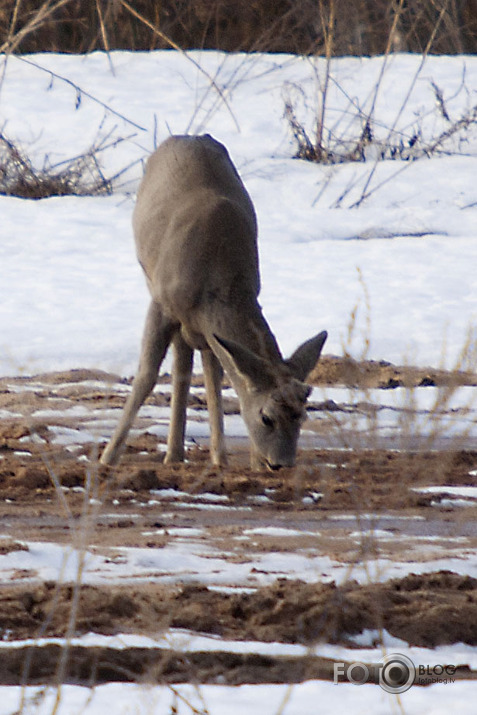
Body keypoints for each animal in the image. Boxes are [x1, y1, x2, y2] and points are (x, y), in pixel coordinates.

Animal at [98, 136, 326, 470]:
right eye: (266, 417)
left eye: (302, 415)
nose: (280, 463)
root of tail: (186, 137)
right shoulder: (161, 302)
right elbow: (146, 376)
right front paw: (107, 457)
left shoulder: (211, 324)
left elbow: (215, 378)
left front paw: (227, 459)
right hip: (152, 279)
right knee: (181, 362)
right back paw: (171, 453)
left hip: (195, 326)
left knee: (195, 363)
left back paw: (183, 453)